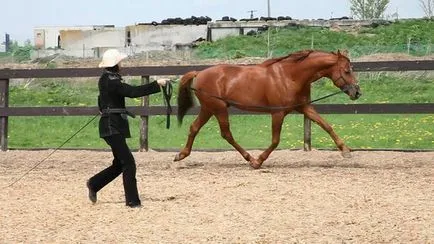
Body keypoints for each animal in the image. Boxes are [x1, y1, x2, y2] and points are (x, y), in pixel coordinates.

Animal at [175, 49, 362, 168]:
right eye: (347, 71)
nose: (357, 92)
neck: (290, 76)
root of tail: (199, 73)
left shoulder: (304, 107)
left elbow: (326, 125)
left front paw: (346, 151)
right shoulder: (278, 113)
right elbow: (275, 140)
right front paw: (259, 161)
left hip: (208, 109)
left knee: (194, 128)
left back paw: (181, 155)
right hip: (218, 108)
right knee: (226, 134)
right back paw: (250, 159)